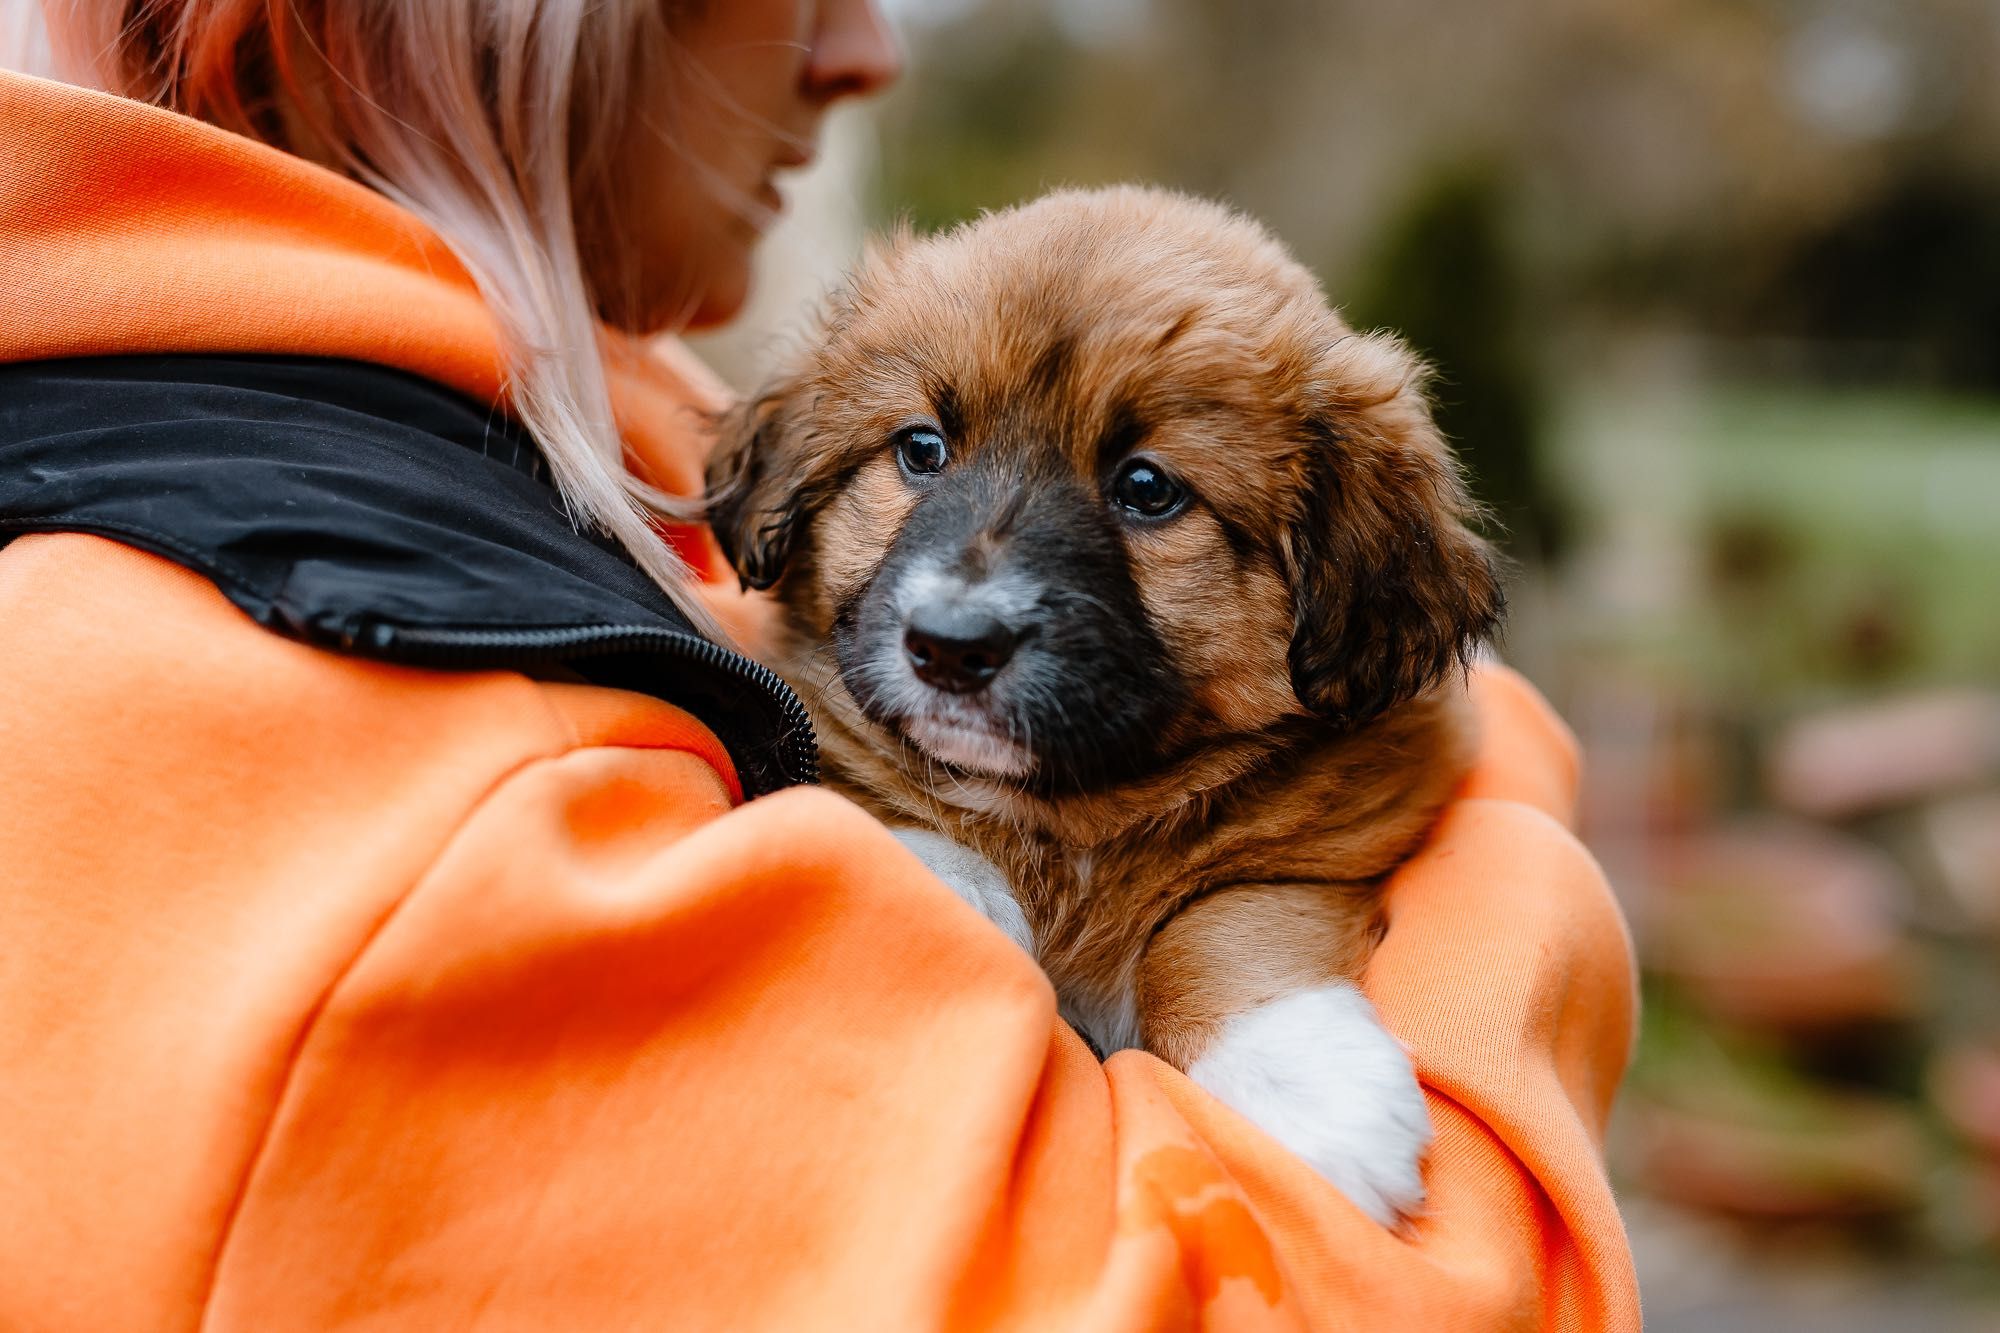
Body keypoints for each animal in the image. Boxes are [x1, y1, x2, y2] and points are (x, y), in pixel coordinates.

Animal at [704, 187, 1504, 1224]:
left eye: (1147, 488)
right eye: (921, 449)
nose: (951, 645)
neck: (1068, 822)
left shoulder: (1336, 838)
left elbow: (1229, 917)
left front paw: (1306, 1085)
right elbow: (889, 804)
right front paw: (956, 895)